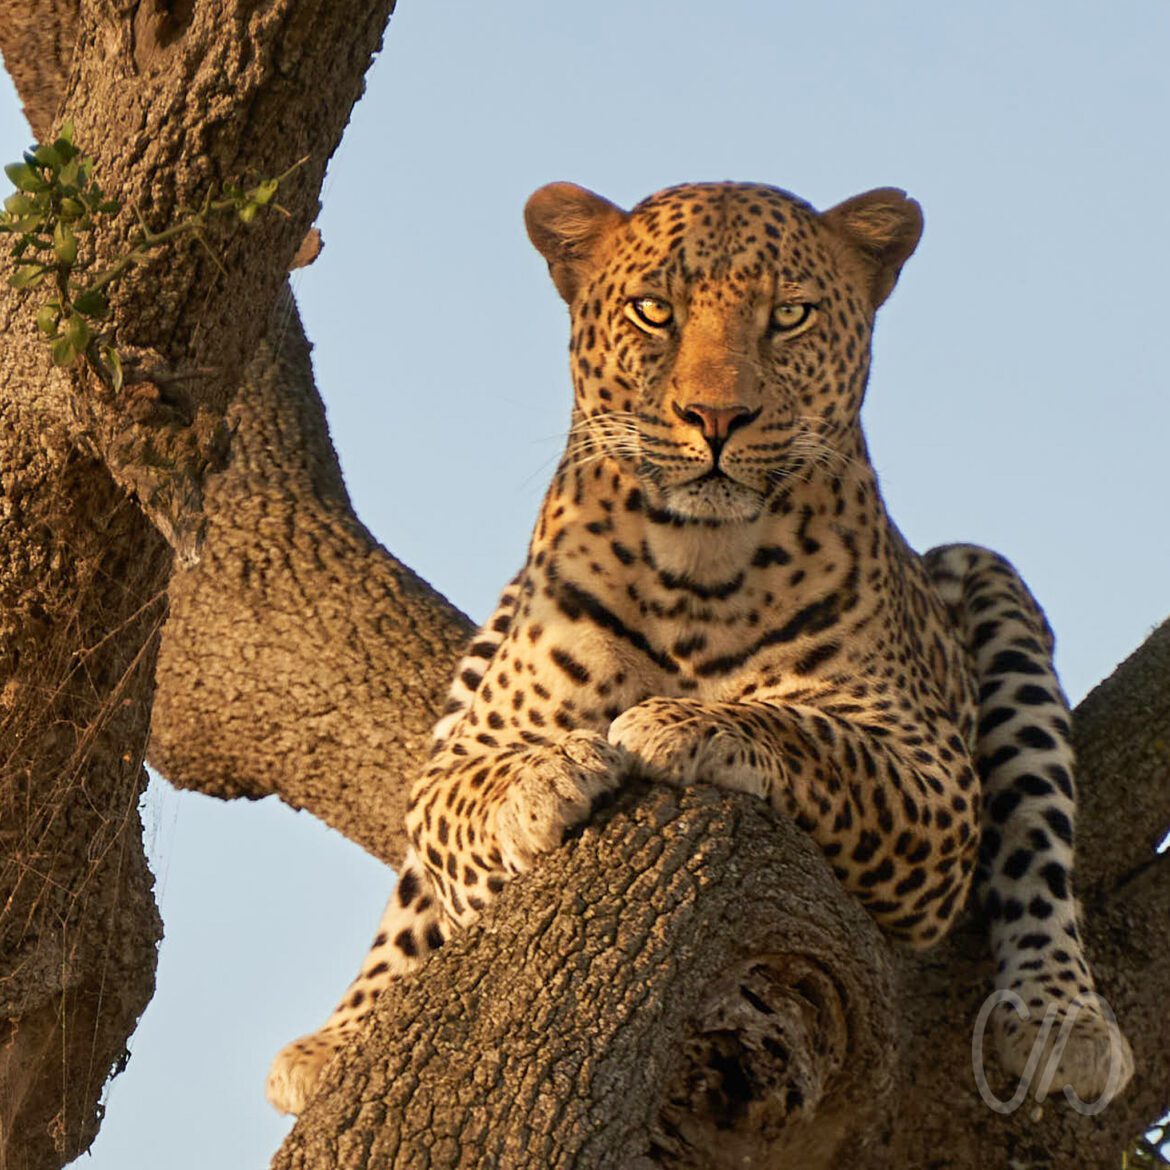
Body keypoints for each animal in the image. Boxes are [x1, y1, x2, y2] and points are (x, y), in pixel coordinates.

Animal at [266, 179, 1133, 1116]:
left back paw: (1062, 1016)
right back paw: (340, 1039)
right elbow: (466, 797)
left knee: (1040, 849)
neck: (699, 564)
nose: (716, 417)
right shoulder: (465, 757)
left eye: (789, 315)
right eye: (655, 311)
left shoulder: (931, 775)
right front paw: (554, 771)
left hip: (991, 586)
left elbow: (815, 734)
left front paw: (686, 722)